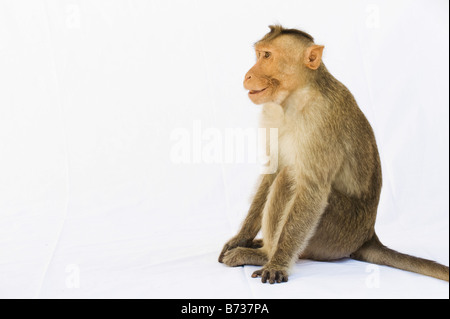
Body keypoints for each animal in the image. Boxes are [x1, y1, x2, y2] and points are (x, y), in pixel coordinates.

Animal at [217, 25, 446, 284]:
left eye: (267, 56)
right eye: (258, 54)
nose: (247, 75)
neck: (295, 97)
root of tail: (368, 235)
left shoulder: (322, 121)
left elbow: (312, 188)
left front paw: (276, 263)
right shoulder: (270, 112)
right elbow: (271, 171)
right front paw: (240, 238)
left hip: (337, 233)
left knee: (289, 178)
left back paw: (264, 255)